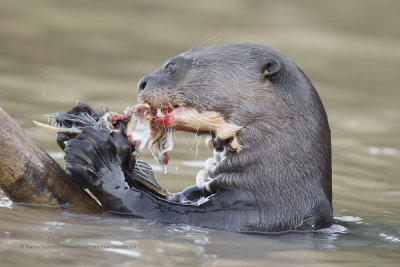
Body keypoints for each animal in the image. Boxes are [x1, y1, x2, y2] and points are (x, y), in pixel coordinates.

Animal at [61, 43, 332, 232]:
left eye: (172, 66)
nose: (142, 82)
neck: (271, 184)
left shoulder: (249, 216)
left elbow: (143, 204)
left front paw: (100, 158)